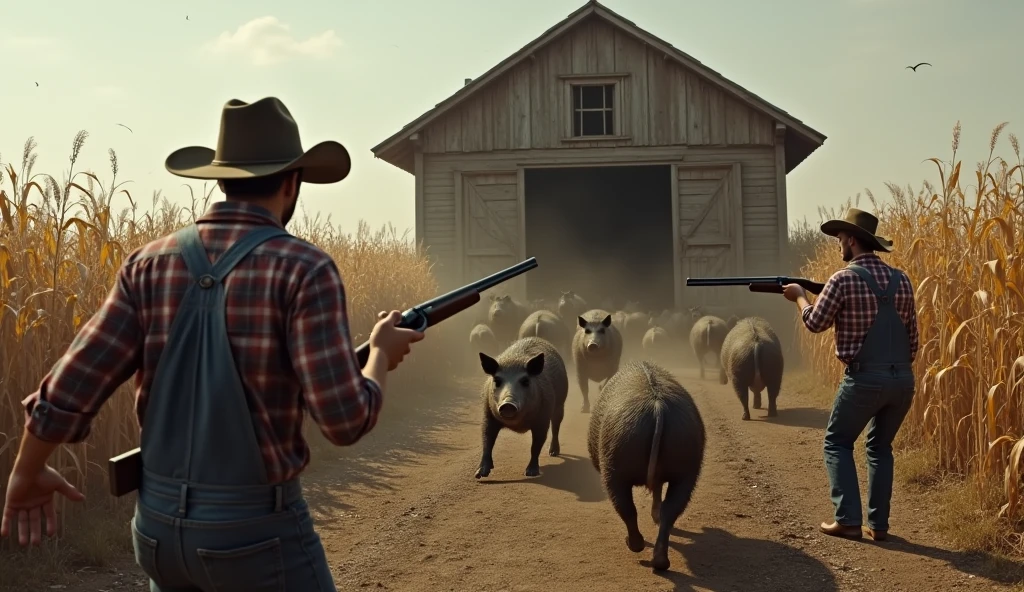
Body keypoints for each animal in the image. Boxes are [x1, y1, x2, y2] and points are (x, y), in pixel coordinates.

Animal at [471, 333, 569, 477]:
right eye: (497, 381)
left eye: (525, 381)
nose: (508, 404)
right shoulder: (487, 413)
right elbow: (487, 440)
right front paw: (479, 474)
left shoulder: (542, 419)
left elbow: (536, 445)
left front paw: (530, 473)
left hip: (560, 404)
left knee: (556, 426)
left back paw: (553, 453)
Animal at [589, 356, 708, 569]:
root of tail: (658, 407)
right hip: (687, 471)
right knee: (670, 510)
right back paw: (660, 561)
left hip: (614, 471)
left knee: (627, 508)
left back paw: (635, 545)